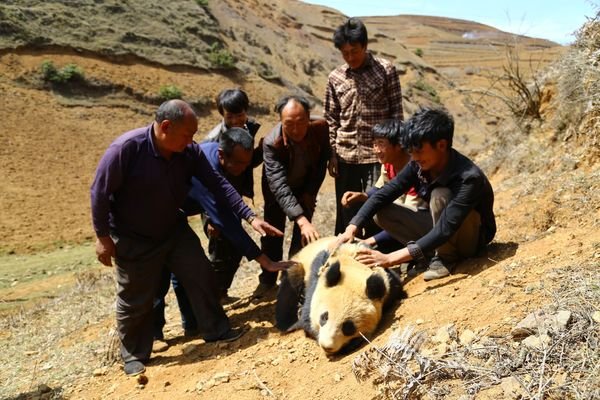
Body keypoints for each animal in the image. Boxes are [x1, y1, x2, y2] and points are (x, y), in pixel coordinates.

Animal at [276, 236, 406, 354]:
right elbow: (307, 317)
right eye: (324, 317)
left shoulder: (386, 279)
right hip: (299, 264)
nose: (326, 346)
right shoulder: (318, 274)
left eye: (348, 327)